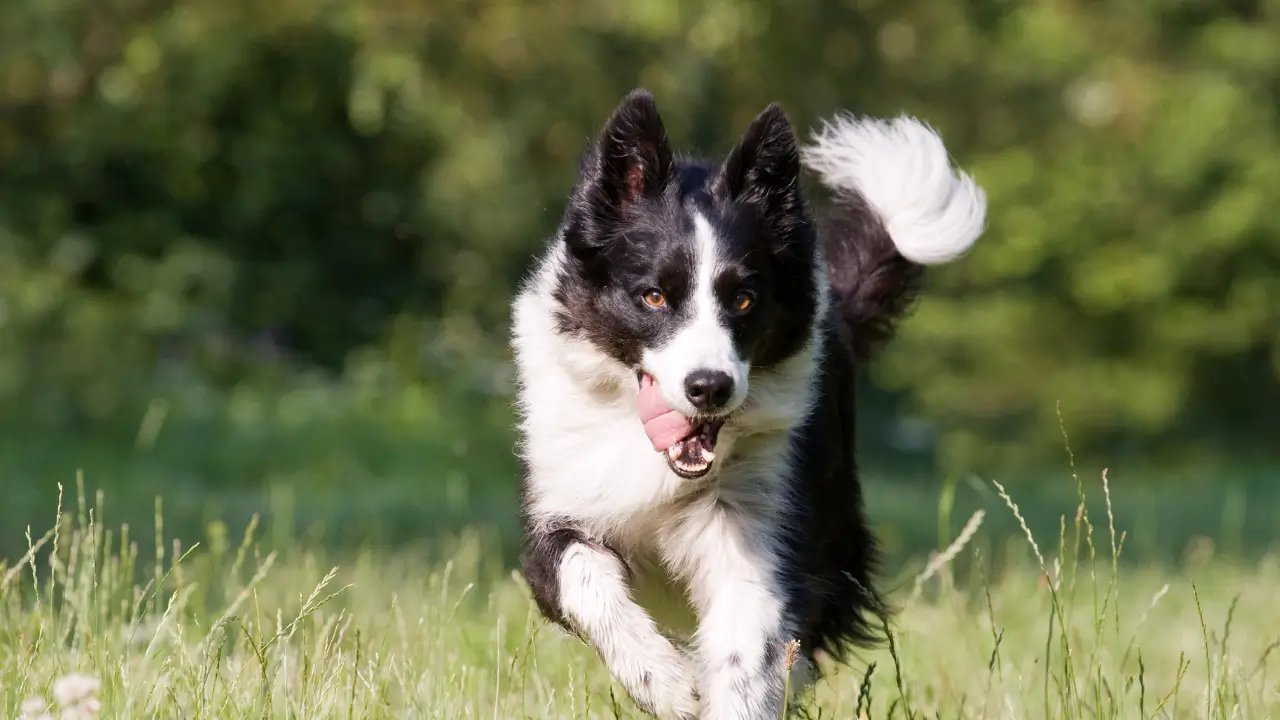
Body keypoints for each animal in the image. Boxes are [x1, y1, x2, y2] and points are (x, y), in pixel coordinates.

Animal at [509, 90, 988, 717]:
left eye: (743, 299)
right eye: (653, 296)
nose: (709, 387)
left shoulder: (761, 520)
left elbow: (749, 640)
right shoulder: (561, 504)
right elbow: (582, 576)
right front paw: (662, 680)